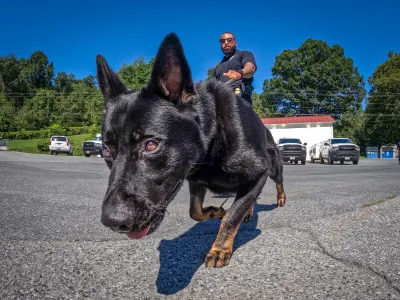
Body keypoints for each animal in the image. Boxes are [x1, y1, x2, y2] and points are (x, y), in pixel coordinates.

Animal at [95, 32, 286, 268]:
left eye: (151, 145)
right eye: (107, 151)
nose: (113, 221)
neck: (212, 141)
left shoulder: (258, 174)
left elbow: (232, 216)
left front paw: (220, 247)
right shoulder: (196, 181)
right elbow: (195, 211)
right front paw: (214, 212)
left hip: (273, 168)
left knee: (278, 182)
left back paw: (280, 199)